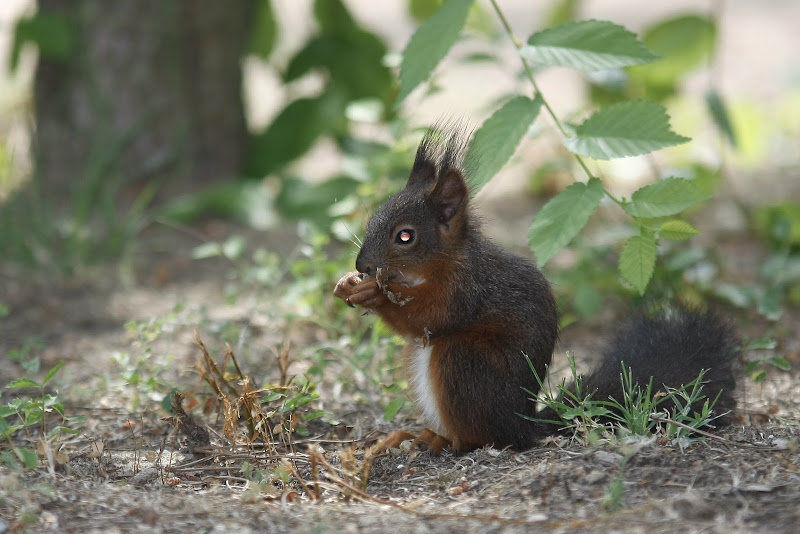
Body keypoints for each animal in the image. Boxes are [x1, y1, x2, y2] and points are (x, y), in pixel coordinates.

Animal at [332, 126, 736, 456]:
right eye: (373, 220)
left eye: (406, 236)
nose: (361, 265)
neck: (440, 264)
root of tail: (525, 426)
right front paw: (349, 286)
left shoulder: (466, 289)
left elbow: (430, 317)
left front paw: (373, 295)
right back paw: (420, 435)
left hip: (462, 359)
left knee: (482, 437)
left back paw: (444, 442)